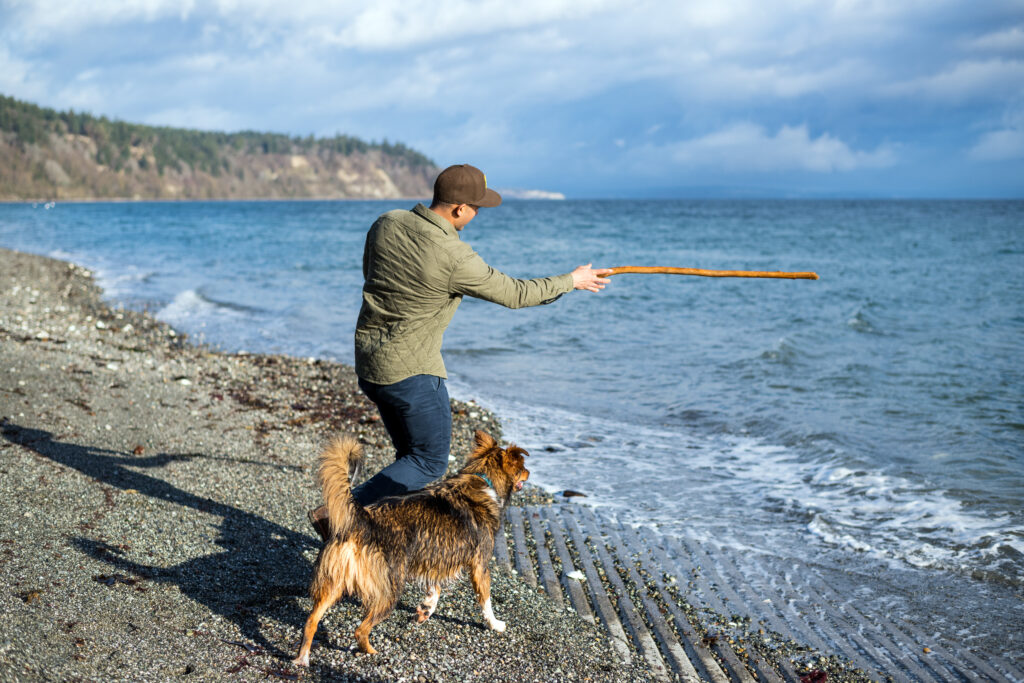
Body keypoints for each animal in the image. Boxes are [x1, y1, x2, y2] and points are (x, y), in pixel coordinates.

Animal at [290, 430, 524, 663]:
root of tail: (362, 519)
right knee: (360, 630)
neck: (483, 479)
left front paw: (426, 610)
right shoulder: (479, 566)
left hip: (333, 583)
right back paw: (372, 653)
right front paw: (495, 625)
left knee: (311, 621)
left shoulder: (432, 558)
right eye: (523, 469)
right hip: (389, 590)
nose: (529, 472)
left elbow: (435, 588)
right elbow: (485, 601)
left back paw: (302, 659)